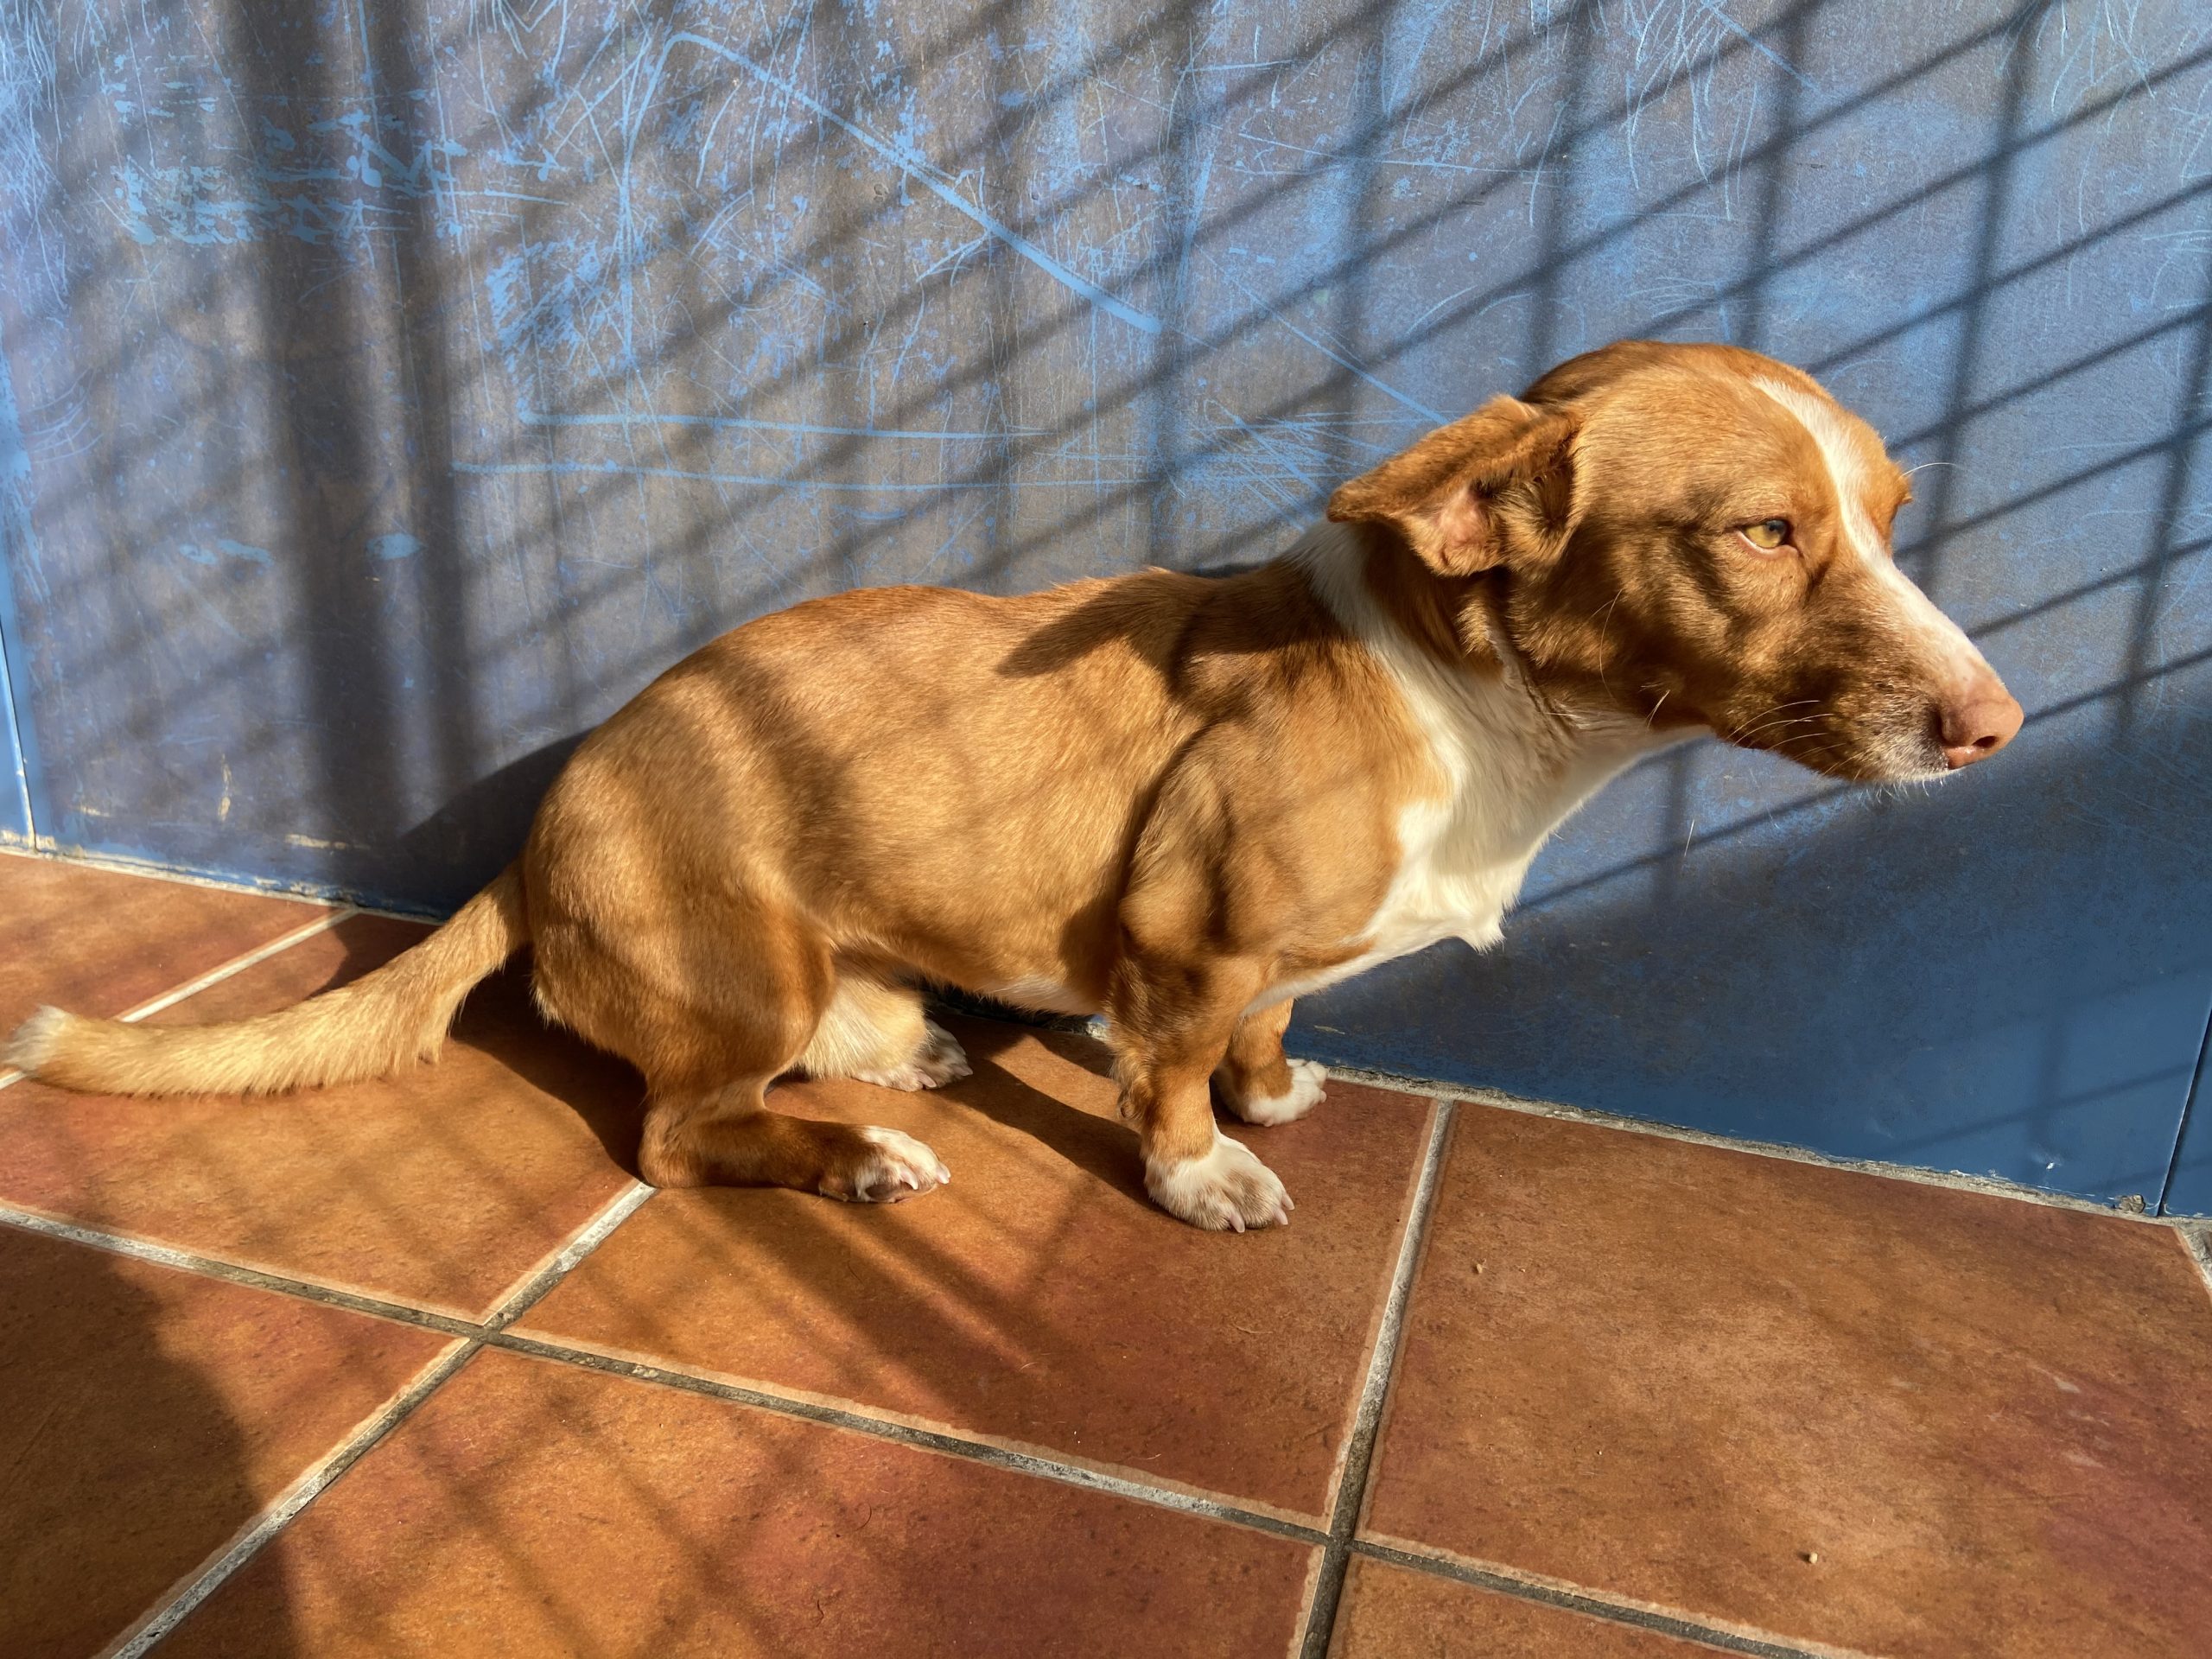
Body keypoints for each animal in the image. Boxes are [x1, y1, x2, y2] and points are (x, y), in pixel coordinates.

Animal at [7, 341, 2021, 1231]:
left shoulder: (1259, 962)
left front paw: (1275, 1094)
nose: (1999, 730)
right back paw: (850, 1153)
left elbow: (1269, 1027)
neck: (1463, 703)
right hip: (745, 968)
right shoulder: (1179, 941)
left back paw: (900, 1054)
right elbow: (1169, 1078)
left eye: (1886, 515)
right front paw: (1205, 1170)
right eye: (1761, 534)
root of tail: (535, 835)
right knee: (676, 1131)